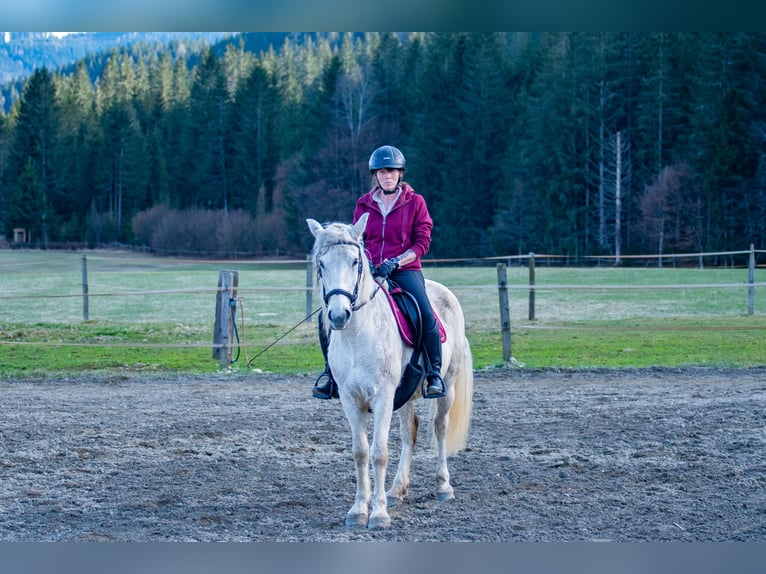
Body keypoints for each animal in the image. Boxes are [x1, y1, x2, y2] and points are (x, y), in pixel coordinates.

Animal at [306, 216, 474, 532]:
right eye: (321, 264)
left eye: (355, 261)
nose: (338, 315)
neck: (358, 335)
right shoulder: (350, 398)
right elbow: (360, 452)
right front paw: (359, 510)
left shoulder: (383, 395)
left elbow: (379, 452)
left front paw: (379, 514)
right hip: (405, 393)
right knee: (410, 432)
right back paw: (397, 490)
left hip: (448, 384)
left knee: (440, 427)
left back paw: (443, 486)